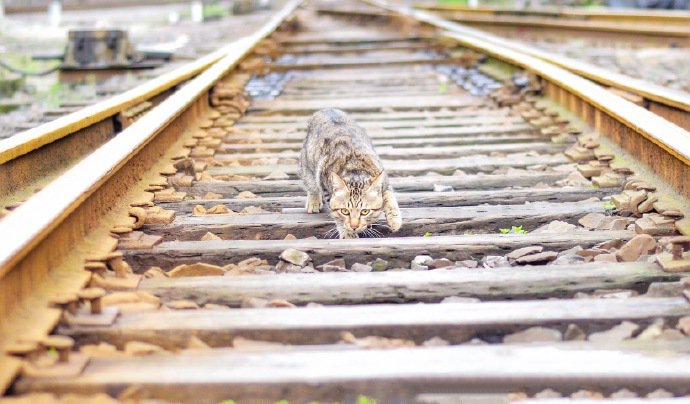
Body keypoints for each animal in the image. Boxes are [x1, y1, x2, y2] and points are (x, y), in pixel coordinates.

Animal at [298, 108, 400, 240]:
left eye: (364, 211)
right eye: (345, 211)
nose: (354, 226)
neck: (355, 168)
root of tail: (327, 109)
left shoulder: (384, 181)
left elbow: (390, 199)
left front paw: (395, 220)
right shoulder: (325, 185)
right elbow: (336, 213)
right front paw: (348, 233)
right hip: (306, 164)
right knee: (311, 185)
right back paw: (313, 201)